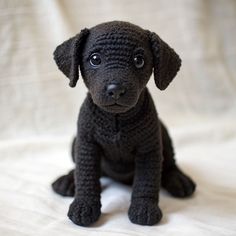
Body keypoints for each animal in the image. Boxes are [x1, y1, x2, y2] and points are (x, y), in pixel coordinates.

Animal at [51, 21, 195, 226]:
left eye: (139, 60)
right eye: (95, 59)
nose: (116, 90)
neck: (116, 120)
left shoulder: (149, 150)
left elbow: (146, 182)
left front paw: (144, 208)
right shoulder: (87, 145)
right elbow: (86, 176)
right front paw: (84, 206)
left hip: (164, 136)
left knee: (169, 164)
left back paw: (178, 179)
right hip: (75, 141)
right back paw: (69, 180)